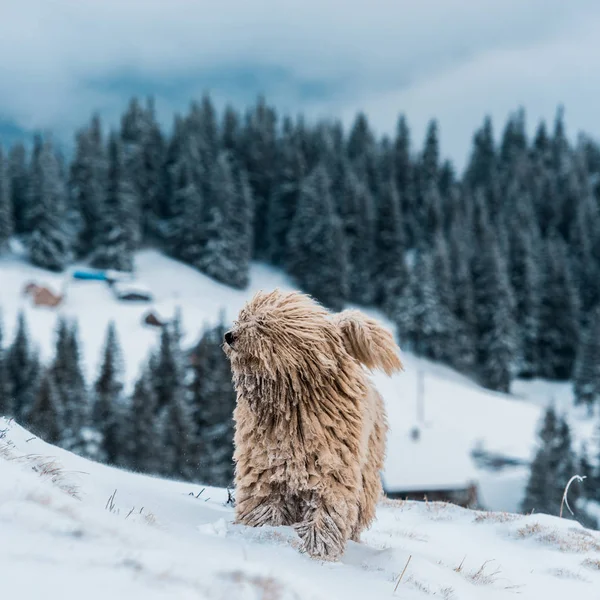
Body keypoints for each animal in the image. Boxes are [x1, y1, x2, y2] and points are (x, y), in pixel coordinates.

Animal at [225, 288, 404, 560]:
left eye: (262, 322)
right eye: (243, 317)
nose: (229, 336)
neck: (292, 407)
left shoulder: (333, 468)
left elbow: (327, 508)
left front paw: (319, 547)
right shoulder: (264, 466)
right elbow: (263, 501)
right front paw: (261, 530)